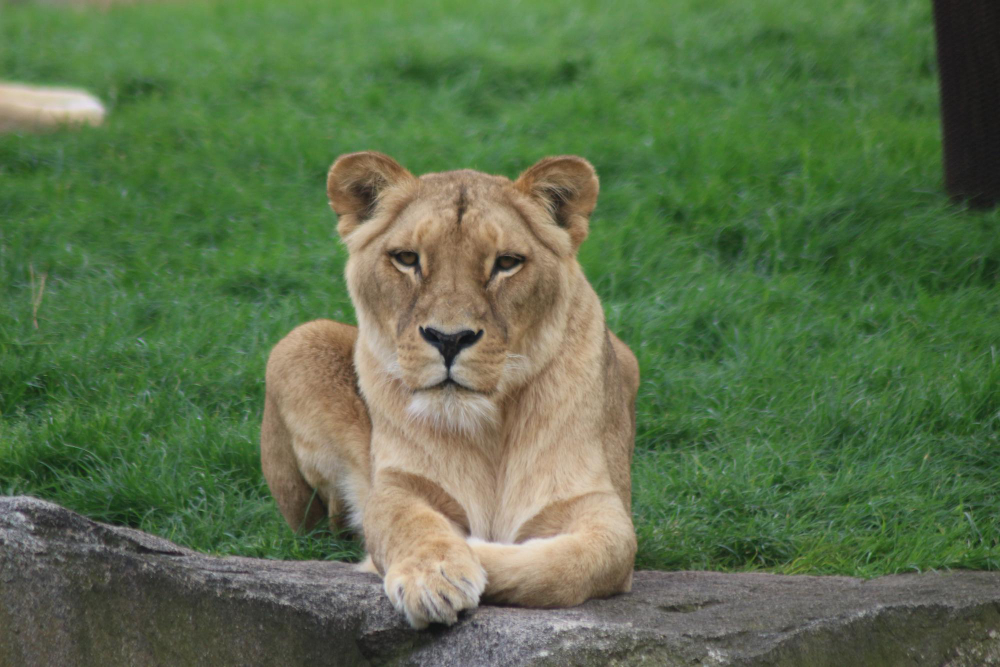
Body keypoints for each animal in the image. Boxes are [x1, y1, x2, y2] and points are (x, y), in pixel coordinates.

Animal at [260, 151, 639, 629]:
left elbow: (577, 562)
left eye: (506, 262)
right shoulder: (398, 483)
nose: (449, 339)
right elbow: (406, 521)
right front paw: (433, 576)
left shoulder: (601, 504)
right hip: (299, 343)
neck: (487, 429)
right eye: (407, 258)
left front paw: (472, 551)